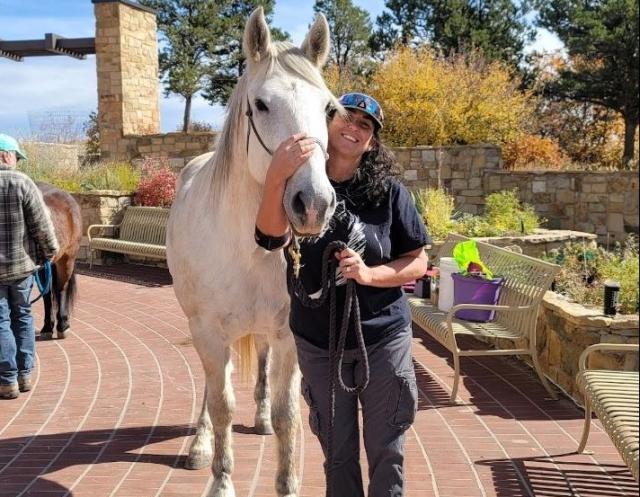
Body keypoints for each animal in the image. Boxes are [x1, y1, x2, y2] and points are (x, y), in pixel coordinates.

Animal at [165, 7, 338, 496]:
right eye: (260, 104)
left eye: (328, 108)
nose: (313, 203)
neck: (248, 247)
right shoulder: (207, 331)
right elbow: (221, 403)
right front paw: (221, 479)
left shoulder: (288, 336)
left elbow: (287, 416)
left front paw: (288, 482)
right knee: (212, 386)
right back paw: (200, 444)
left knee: (259, 367)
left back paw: (257, 417)